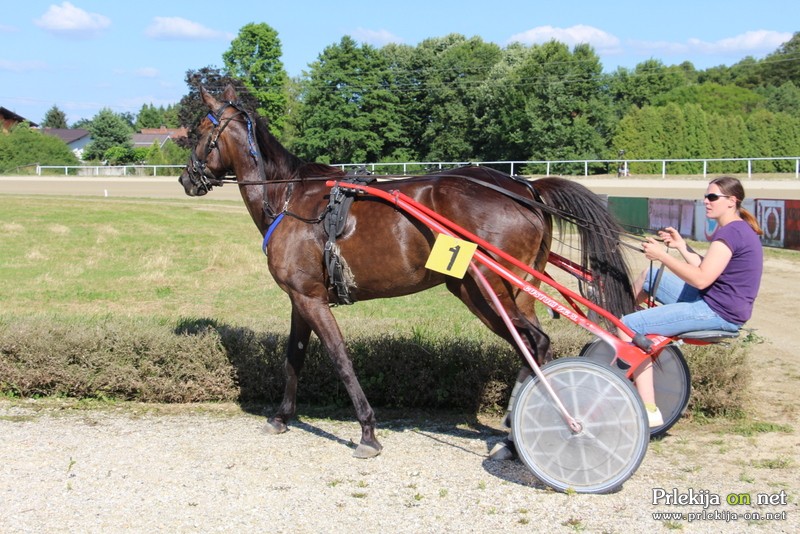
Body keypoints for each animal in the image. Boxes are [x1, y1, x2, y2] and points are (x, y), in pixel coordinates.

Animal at [178, 85, 636, 460]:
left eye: (198, 132)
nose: (185, 178)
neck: (290, 197)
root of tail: (525, 189)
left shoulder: (310, 298)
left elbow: (340, 358)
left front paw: (367, 431)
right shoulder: (301, 297)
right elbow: (294, 356)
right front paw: (281, 416)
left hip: (484, 288)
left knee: (534, 342)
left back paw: (521, 431)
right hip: (513, 290)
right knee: (534, 346)